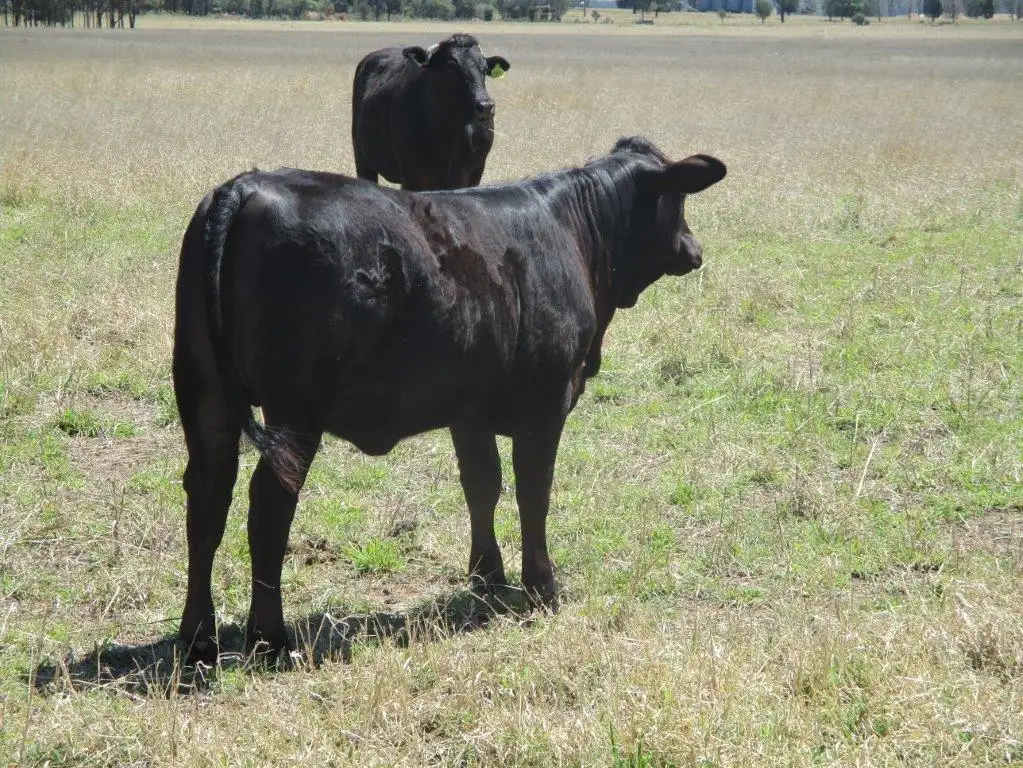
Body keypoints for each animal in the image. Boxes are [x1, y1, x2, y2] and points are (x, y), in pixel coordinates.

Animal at [173, 136, 726, 662]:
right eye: (678, 199)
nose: (695, 248)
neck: (573, 231)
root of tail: (244, 187)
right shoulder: (544, 406)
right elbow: (534, 492)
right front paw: (541, 587)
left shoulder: (469, 411)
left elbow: (482, 486)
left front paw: (487, 576)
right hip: (293, 414)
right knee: (268, 507)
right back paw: (270, 639)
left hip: (204, 396)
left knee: (207, 501)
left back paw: (198, 638)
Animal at [351, 33, 511, 191]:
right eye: (450, 67)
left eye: (484, 69)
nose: (486, 105)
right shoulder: (412, 175)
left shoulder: (475, 172)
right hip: (362, 158)